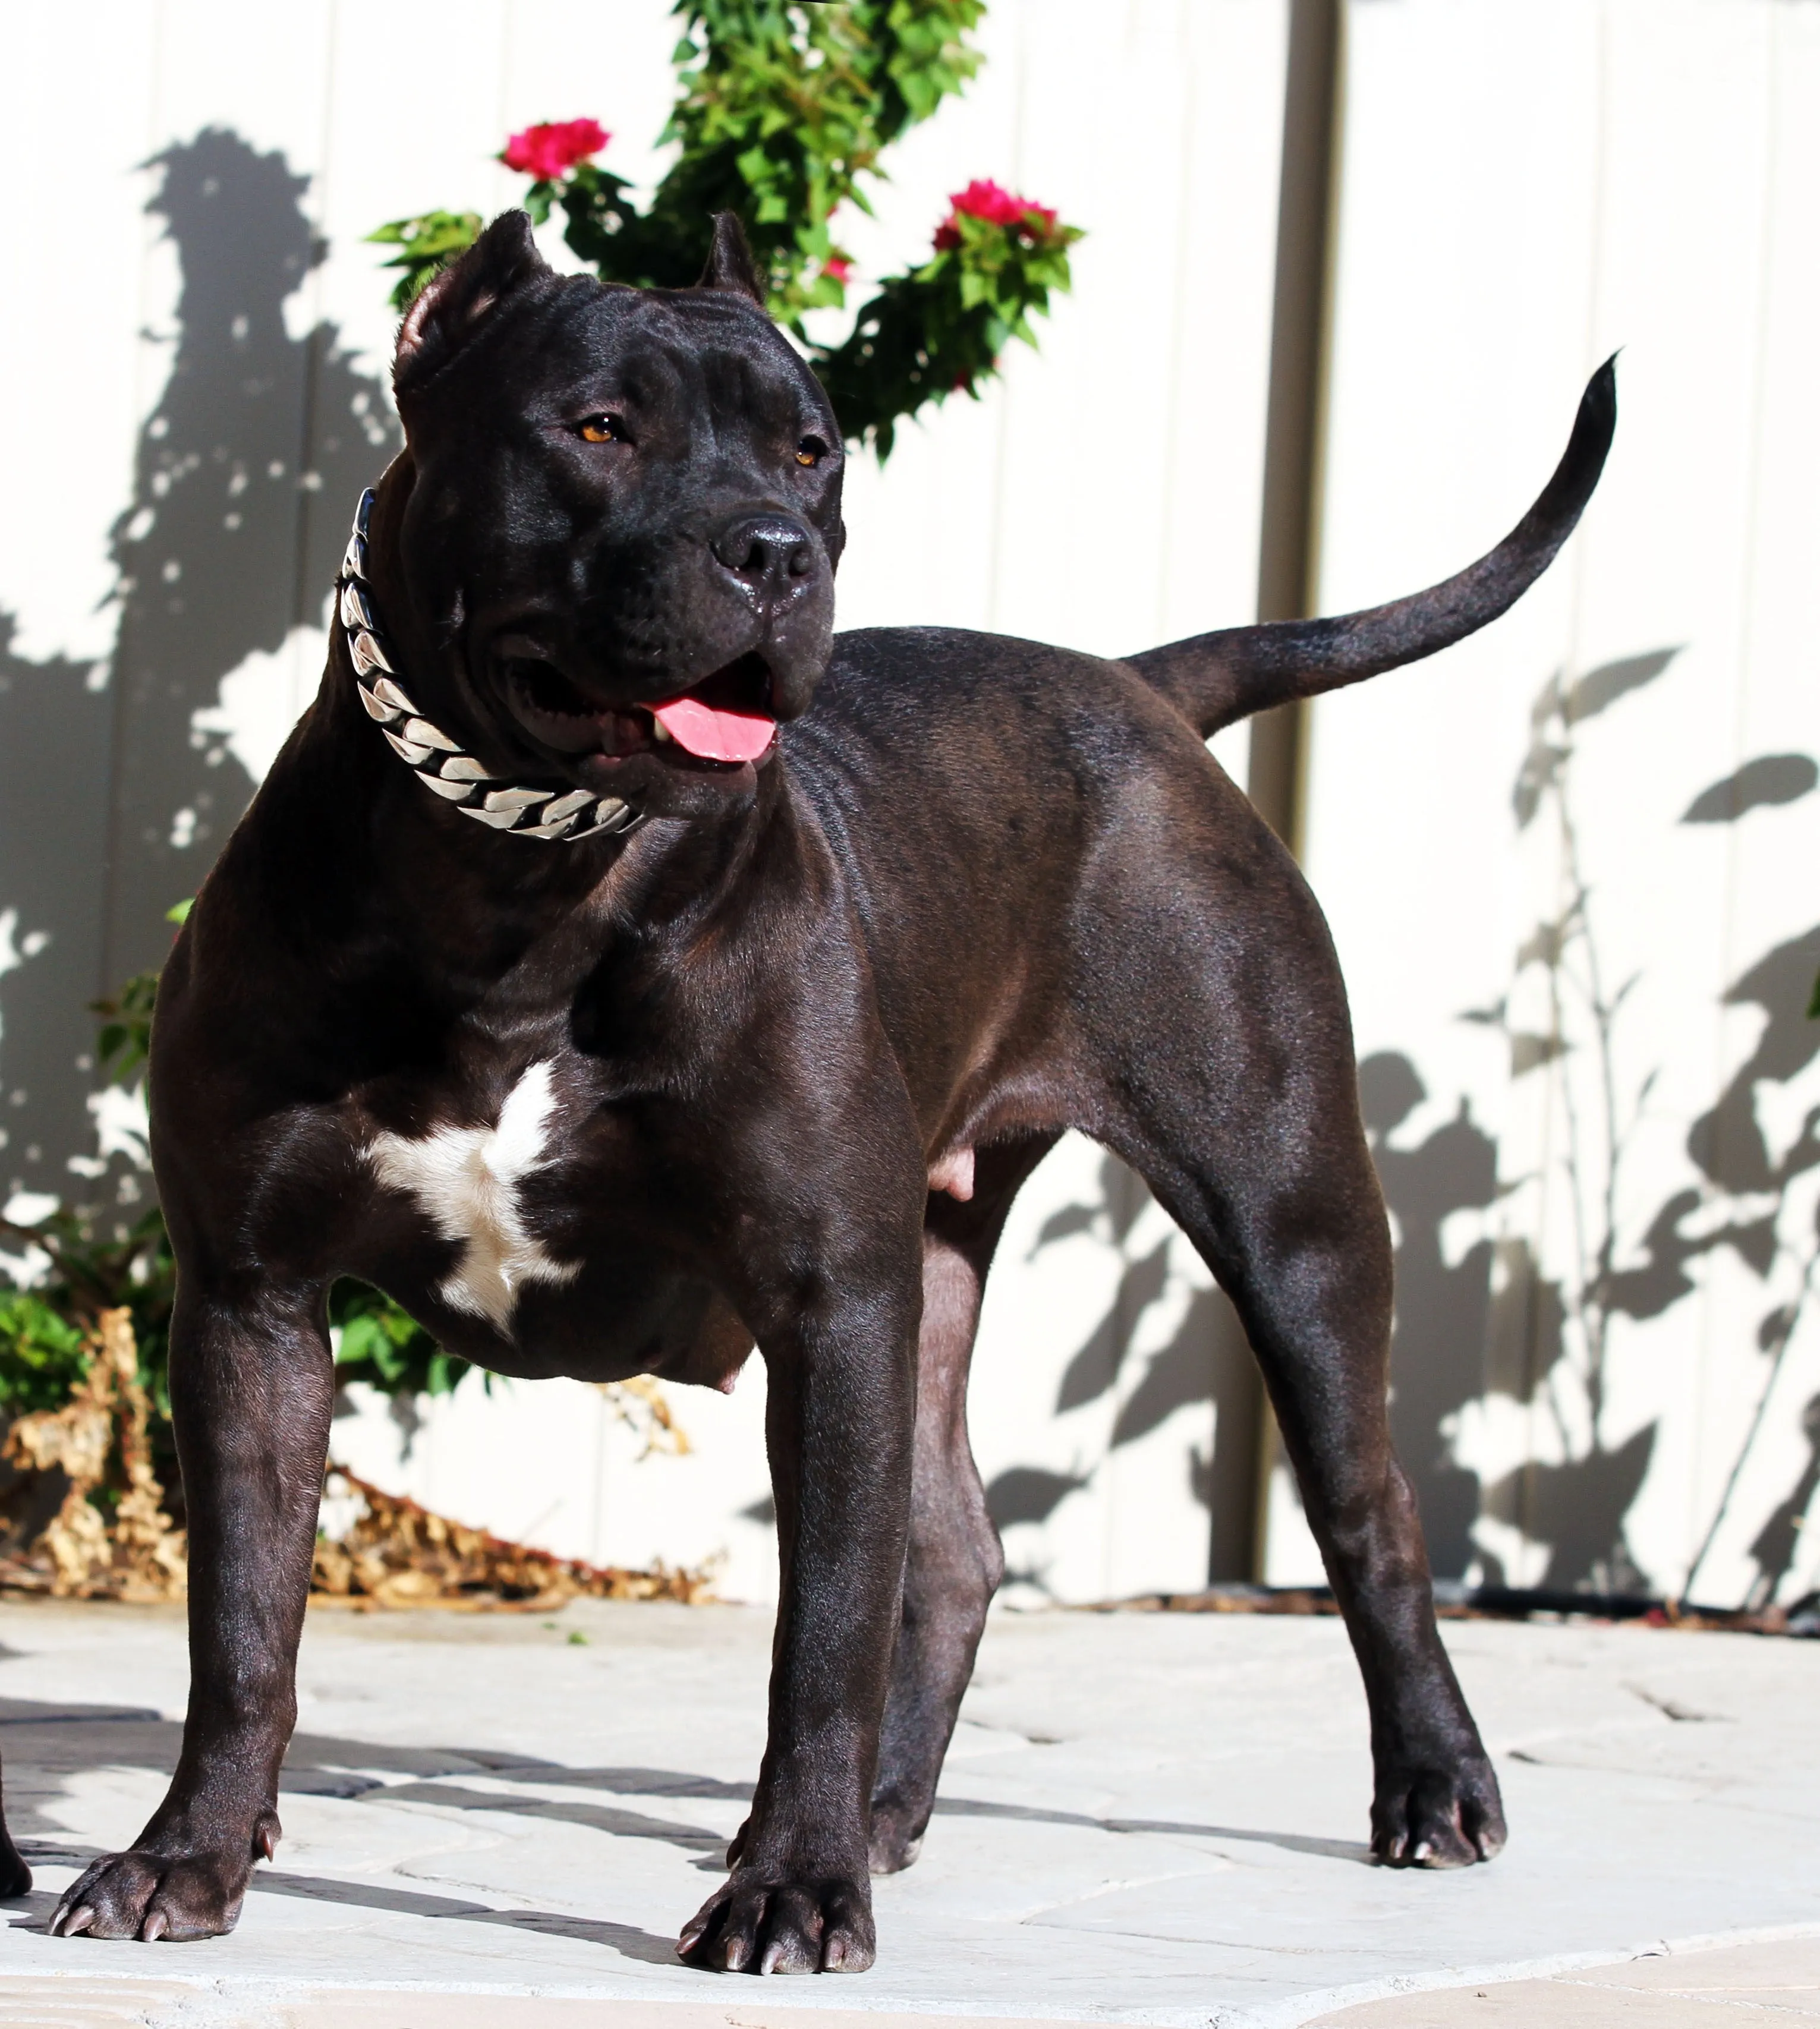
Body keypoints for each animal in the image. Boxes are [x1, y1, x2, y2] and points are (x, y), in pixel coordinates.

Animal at [24, 214, 1607, 1972]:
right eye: (598, 427)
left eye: (809, 447)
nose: (776, 552)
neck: (523, 880)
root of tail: (1137, 683)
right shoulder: (252, 1302)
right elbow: (242, 1625)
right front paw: (187, 1855)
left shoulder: (828, 1300)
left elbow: (822, 1629)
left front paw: (790, 1885)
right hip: (938, 1260)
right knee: (961, 1549)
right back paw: (891, 1815)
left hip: (1288, 1221)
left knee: (1365, 1513)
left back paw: (1431, 1789)